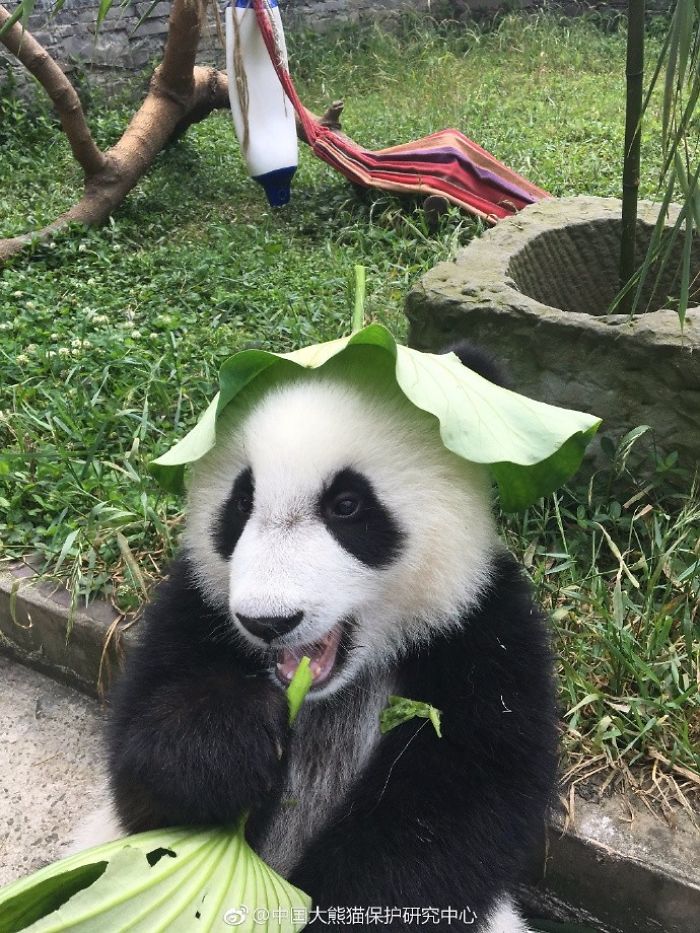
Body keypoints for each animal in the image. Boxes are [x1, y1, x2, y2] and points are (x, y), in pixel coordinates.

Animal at [103, 342, 558, 933]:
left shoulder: (482, 633)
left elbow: (459, 817)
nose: (268, 621)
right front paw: (227, 737)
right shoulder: (194, 608)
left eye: (347, 506)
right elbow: (144, 788)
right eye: (241, 504)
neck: (333, 691)